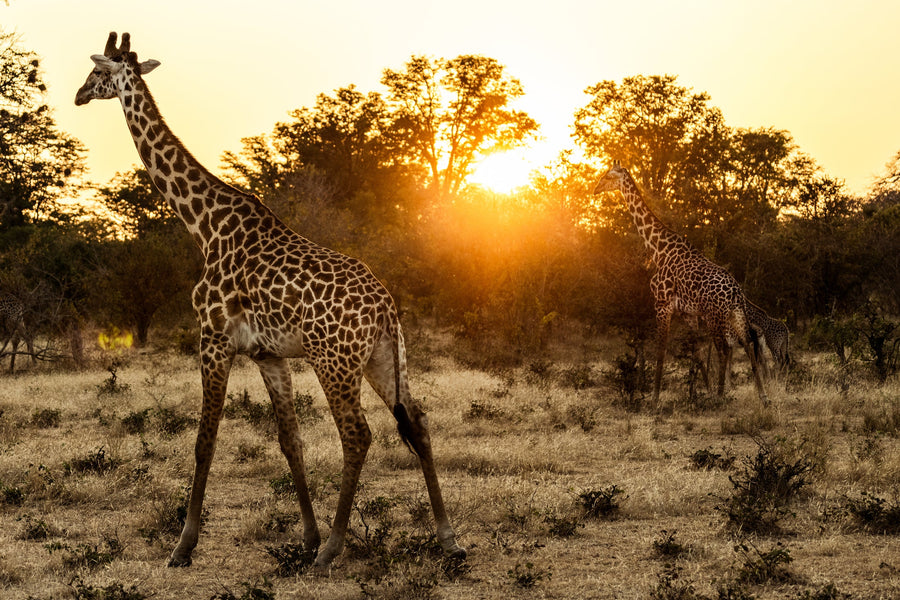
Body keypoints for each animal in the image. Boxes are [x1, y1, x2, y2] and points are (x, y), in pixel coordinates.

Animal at [75, 32, 465, 569]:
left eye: (96, 72)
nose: (78, 95)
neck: (204, 226)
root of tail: (386, 308)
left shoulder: (214, 338)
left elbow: (204, 441)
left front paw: (183, 546)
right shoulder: (267, 355)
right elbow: (289, 441)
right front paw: (306, 537)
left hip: (334, 361)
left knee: (357, 434)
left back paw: (335, 550)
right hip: (382, 357)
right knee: (419, 422)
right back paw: (448, 539)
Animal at [592, 162, 768, 405]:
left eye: (608, 176)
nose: (595, 189)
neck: (658, 249)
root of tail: (736, 292)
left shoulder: (662, 304)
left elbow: (661, 350)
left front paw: (655, 398)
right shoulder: (688, 313)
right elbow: (697, 353)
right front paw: (699, 392)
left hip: (715, 316)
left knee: (724, 349)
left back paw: (721, 397)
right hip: (736, 314)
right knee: (748, 344)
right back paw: (762, 396)